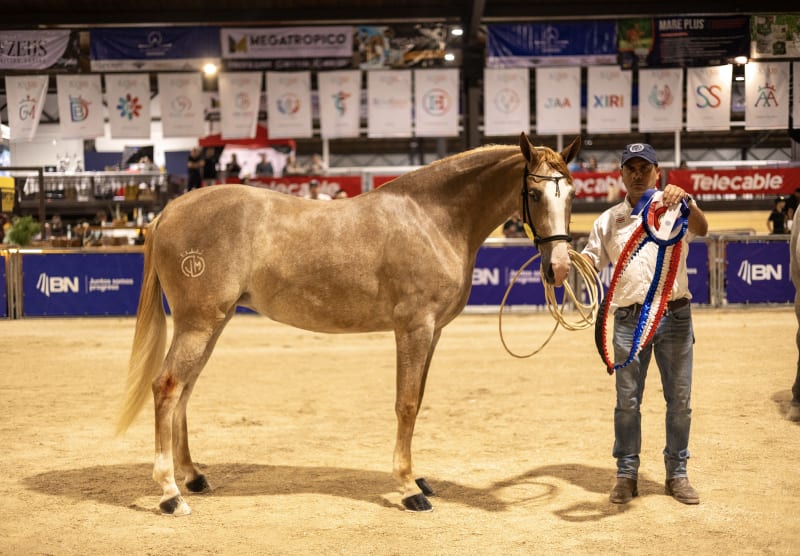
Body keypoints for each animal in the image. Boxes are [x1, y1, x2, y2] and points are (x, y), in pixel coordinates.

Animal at [116, 133, 581, 515]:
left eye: (571, 194)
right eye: (535, 193)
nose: (559, 268)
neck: (433, 219)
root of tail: (168, 212)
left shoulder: (433, 333)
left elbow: (417, 399)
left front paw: (418, 478)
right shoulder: (414, 328)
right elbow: (406, 404)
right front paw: (409, 488)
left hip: (212, 323)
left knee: (184, 392)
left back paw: (193, 476)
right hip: (199, 324)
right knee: (168, 387)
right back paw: (170, 493)